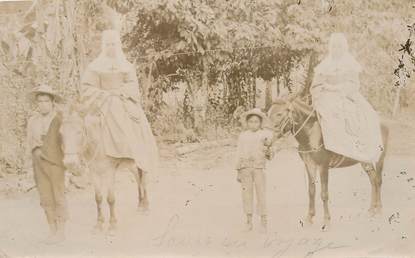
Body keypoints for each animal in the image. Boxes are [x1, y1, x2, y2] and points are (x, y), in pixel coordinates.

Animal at [268, 97, 388, 230]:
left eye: (279, 114)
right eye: (268, 113)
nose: (267, 139)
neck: (312, 133)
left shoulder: (323, 167)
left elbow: (324, 194)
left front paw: (326, 220)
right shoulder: (310, 165)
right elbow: (311, 191)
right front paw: (309, 218)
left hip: (379, 158)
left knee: (378, 181)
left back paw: (380, 210)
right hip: (365, 161)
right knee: (373, 180)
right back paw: (372, 210)